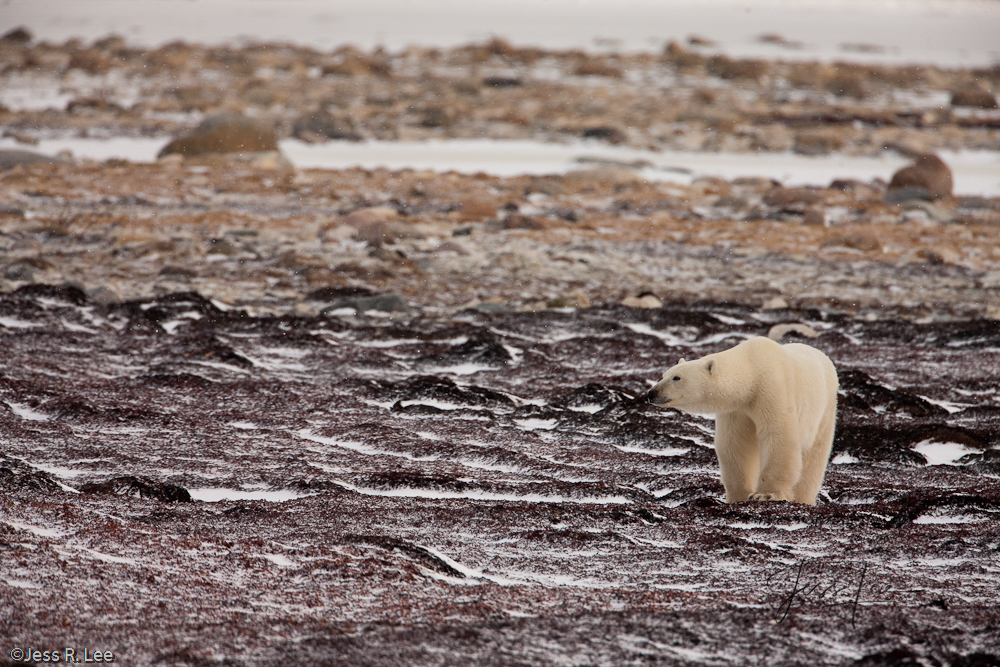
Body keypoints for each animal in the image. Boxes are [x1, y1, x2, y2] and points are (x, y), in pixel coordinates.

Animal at [644, 340, 840, 506]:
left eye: (677, 377)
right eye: (663, 375)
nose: (651, 393)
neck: (753, 369)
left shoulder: (773, 389)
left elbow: (778, 436)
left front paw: (766, 494)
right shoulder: (736, 409)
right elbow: (736, 445)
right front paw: (738, 496)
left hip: (824, 409)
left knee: (814, 457)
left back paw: (803, 499)